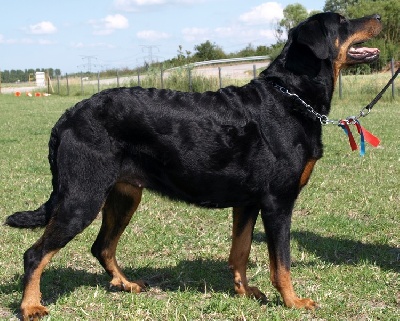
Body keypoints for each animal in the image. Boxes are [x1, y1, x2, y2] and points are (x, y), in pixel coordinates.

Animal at [6, 11, 382, 318]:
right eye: (342, 22)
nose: (378, 15)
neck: (291, 96)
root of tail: (67, 117)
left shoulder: (248, 202)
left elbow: (240, 251)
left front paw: (244, 292)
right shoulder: (278, 201)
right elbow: (282, 263)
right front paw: (293, 302)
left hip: (123, 196)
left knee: (102, 247)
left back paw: (126, 284)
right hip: (82, 197)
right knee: (36, 254)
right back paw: (31, 306)